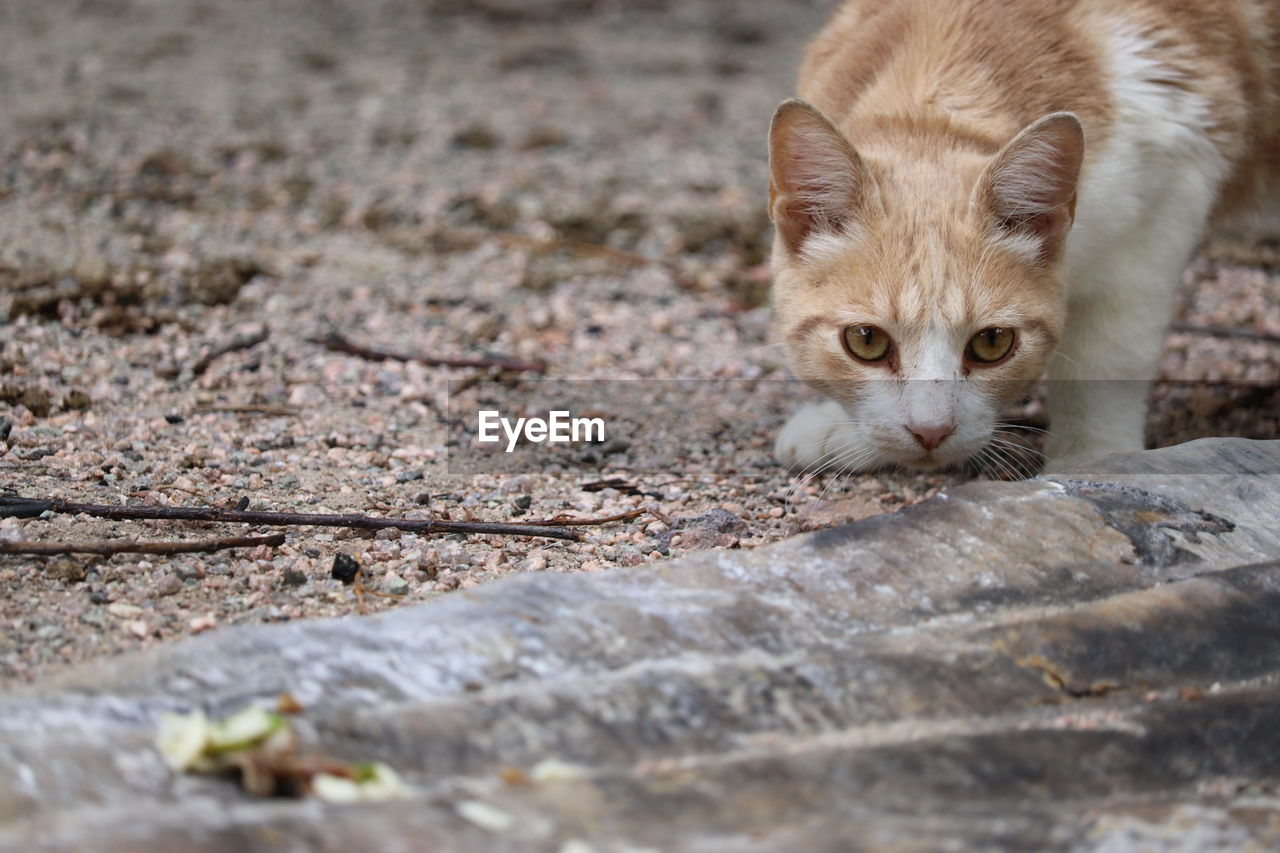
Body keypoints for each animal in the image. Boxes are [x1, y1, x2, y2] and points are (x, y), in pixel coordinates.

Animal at [768, 0, 1280, 471]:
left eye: (992, 343)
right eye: (866, 341)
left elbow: (1108, 357)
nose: (931, 432)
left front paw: (1090, 457)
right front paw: (838, 427)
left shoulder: (1168, 188)